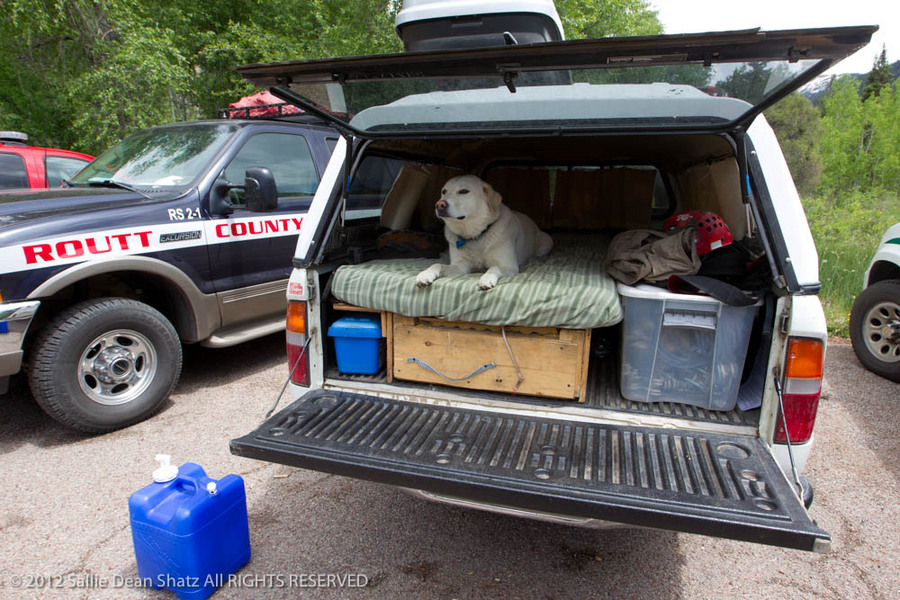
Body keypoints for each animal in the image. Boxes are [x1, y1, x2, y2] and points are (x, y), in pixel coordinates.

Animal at [416, 173, 556, 290]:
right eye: (444, 192)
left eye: (464, 191)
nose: (439, 204)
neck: (476, 235)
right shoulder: (461, 267)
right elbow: (437, 264)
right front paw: (425, 274)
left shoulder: (509, 266)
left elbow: (494, 267)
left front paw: (487, 278)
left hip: (546, 241)